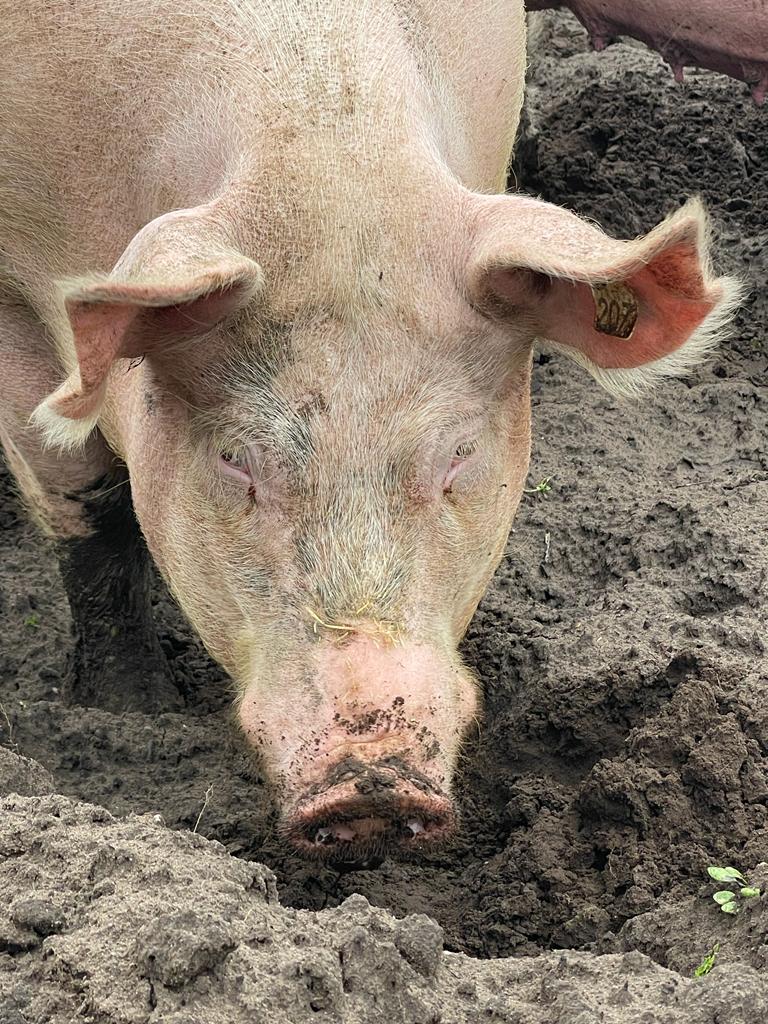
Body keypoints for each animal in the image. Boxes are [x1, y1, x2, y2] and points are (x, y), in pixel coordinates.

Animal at [0, 2, 741, 864]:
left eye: (459, 456)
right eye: (236, 459)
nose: (372, 784)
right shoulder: (13, 294)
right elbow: (88, 506)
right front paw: (131, 710)